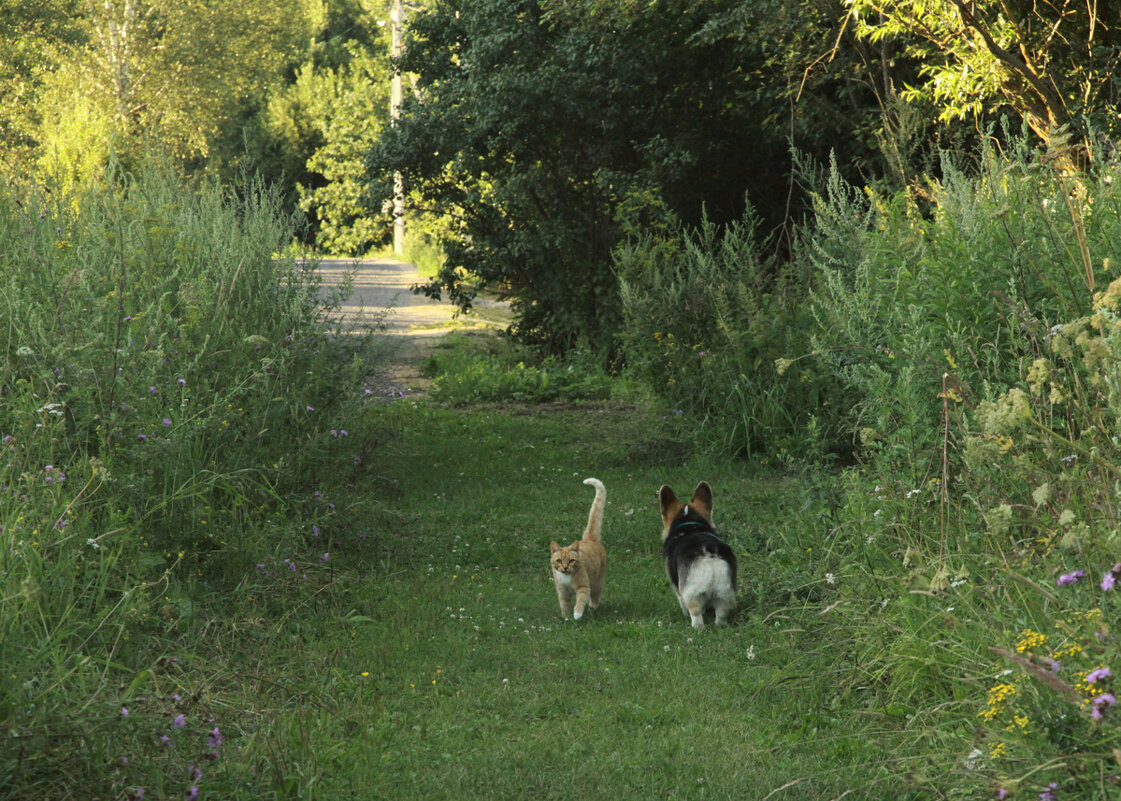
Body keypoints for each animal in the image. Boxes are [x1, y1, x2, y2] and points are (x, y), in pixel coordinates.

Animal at [549, 479, 605, 622]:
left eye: (571, 560)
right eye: (559, 560)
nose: (565, 567)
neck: (566, 577)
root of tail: (589, 539)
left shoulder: (583, 587)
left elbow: (580, 601)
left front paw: (577, 614)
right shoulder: (562, 592)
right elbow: (564, 605)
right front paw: (566, 618)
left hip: (597, 583)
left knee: (595, 596)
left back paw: (593, 608)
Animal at [654, 481, 735, 627]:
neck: (689, 525)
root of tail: (708, 552)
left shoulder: (678, 587)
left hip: (692, 594)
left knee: (696, 615)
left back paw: (696, 627)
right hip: (725, 593)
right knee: (721, 615)